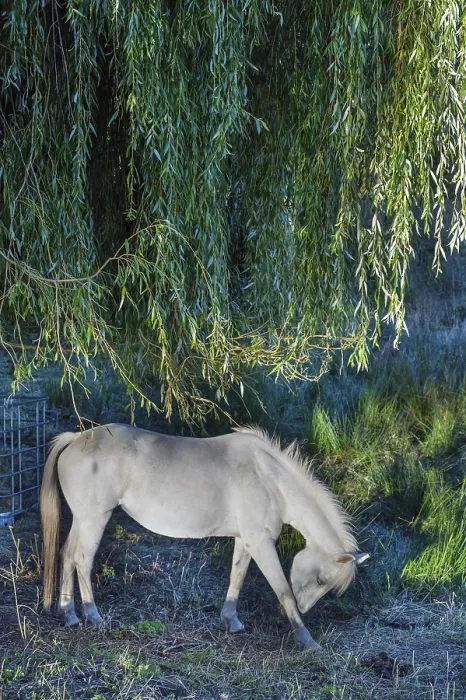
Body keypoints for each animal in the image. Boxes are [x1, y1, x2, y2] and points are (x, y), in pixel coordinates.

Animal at [40, 424, 369, 651]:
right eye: (321, 580)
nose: (304, 608)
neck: (270, 479)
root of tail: (76, 439)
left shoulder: (246, 541)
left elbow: (237, 577)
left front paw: (231, 620)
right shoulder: (261, 544)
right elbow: (283, 590)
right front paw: (306, 639)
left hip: (83, 520)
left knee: (67, 555)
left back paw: (69, 614)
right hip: (95, 519)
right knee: (82, 560)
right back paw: (93, 616)